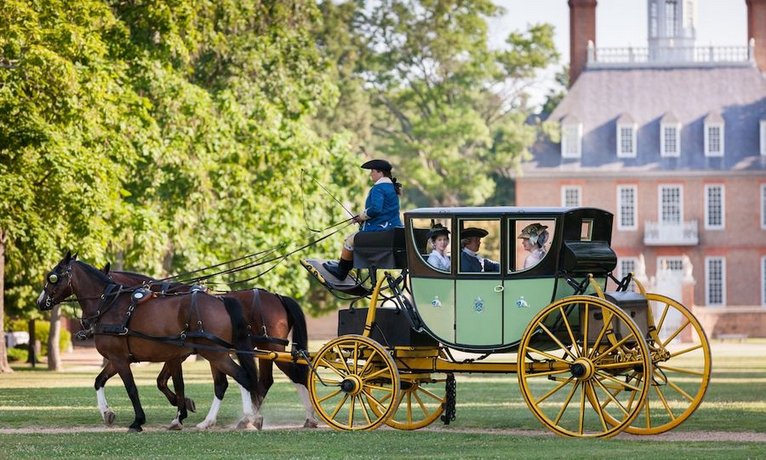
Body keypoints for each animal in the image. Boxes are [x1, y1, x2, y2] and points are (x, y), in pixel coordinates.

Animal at [36, 253, 260, 434]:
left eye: (52, 277)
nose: (40, 302)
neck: (110, 304)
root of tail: (221, 300)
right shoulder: (120, 358)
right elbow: (99, 380)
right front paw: (108, 413)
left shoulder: (122, 359)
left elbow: (133, 389)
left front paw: (139, 421)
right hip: (215, 353)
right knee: (228, 382)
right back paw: (219, 420)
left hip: (216, 353)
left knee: (241, 377)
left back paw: (247, 418)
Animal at [103, 268, 316, 430]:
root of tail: (278, 297)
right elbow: (164, 381)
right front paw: (183, 406)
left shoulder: (177, 354)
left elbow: (165, 382)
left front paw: (181, 410)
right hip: (263, 349)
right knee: (264, 381)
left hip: (270, 346)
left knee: (297, 375)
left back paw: (308, 417)